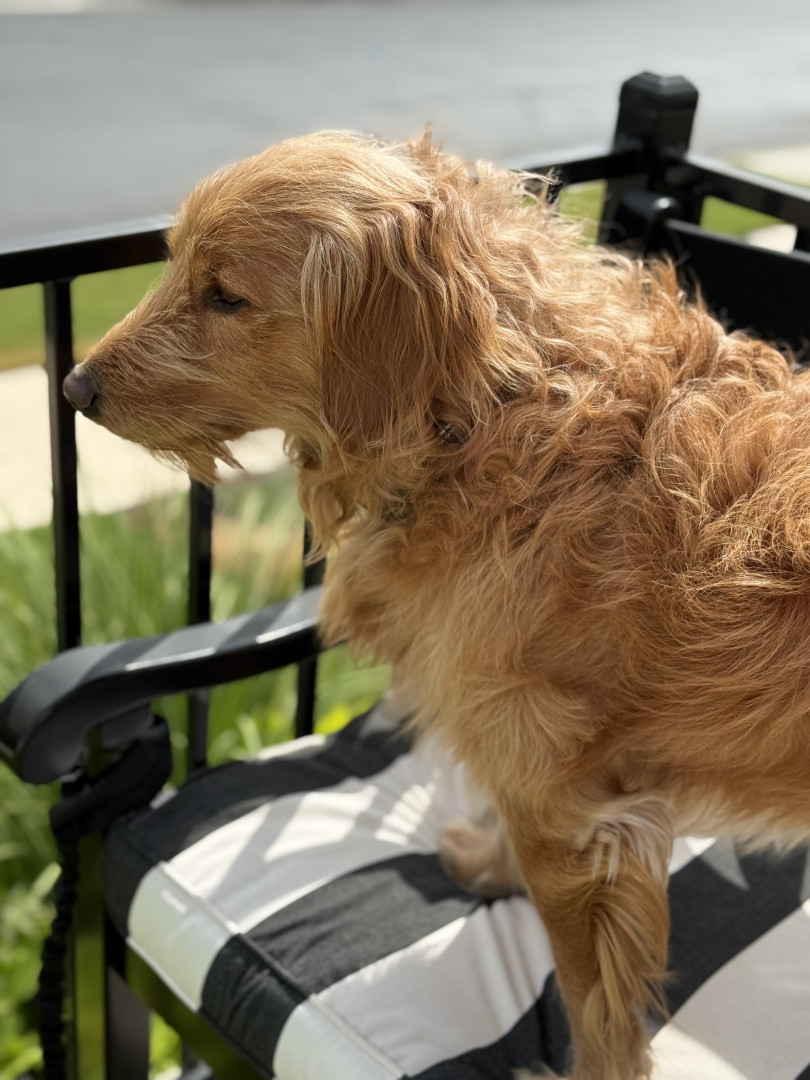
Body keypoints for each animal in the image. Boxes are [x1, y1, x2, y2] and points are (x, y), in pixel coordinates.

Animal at [63, 131, 810, 1080]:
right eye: (172, 262)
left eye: (226, 295)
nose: (75, 388)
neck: (489, 416)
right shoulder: (551, 787)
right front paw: (490, 865)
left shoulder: (565, 812)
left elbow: (593, 1002)